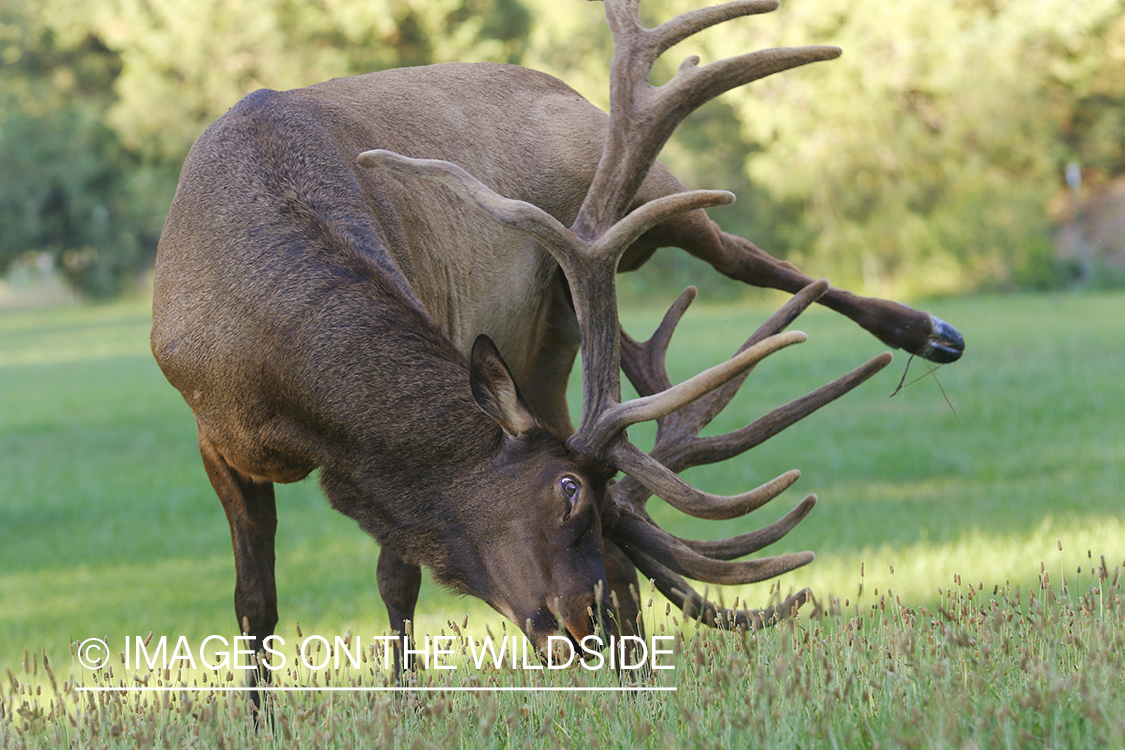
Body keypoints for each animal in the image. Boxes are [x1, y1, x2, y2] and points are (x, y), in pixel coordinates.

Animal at [147, 0, 958, 688]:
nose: (584, 626)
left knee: (743, 255)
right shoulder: (213, 437)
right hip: (552, 343)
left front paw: (406, 700)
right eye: (569, 492)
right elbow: (255, 603)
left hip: (644, 194)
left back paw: (926, 331)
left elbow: (396, 579)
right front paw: (262, 714)